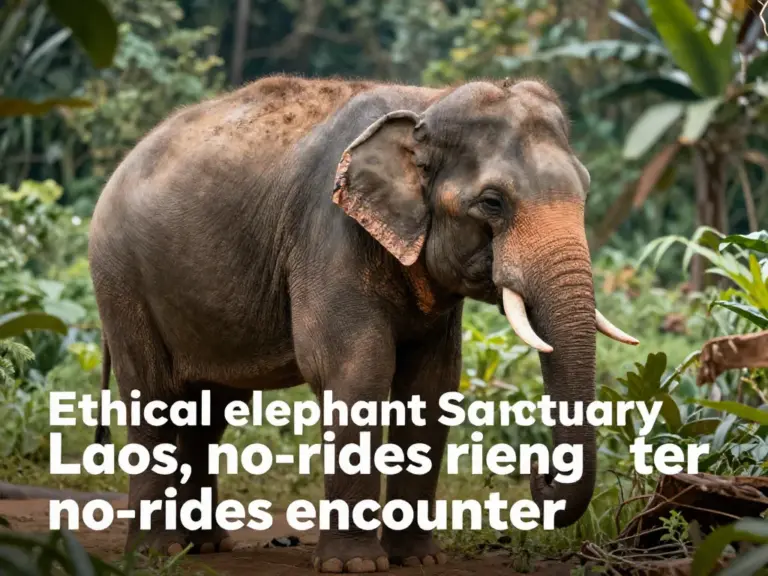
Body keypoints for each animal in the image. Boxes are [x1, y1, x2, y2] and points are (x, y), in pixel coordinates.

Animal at [86, 75, 638, 573]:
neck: (426, 103)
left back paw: (203, 547)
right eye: (493, 202)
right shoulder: (330, 234)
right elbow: (356, 369)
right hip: (120, 278)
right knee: (153, 396)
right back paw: (156, 553)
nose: (539, 471)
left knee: (207, 411)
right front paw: (353, 565)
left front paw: (418, 559)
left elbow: (432, 385)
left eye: (586, 192)